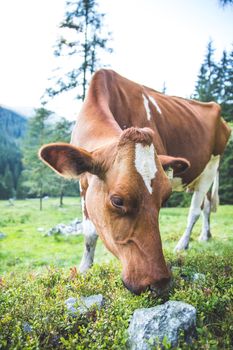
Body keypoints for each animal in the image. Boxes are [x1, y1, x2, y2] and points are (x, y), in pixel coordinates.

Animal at [39, 69, 230, 296]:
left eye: (164, 198)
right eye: (117, 201)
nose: (159, 282)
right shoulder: (83, 183)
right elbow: (89, 232)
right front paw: (84, 268)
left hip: (211, 166)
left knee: (195, 210)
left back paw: (182, 245)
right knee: (207, 206)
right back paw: (205, 236)